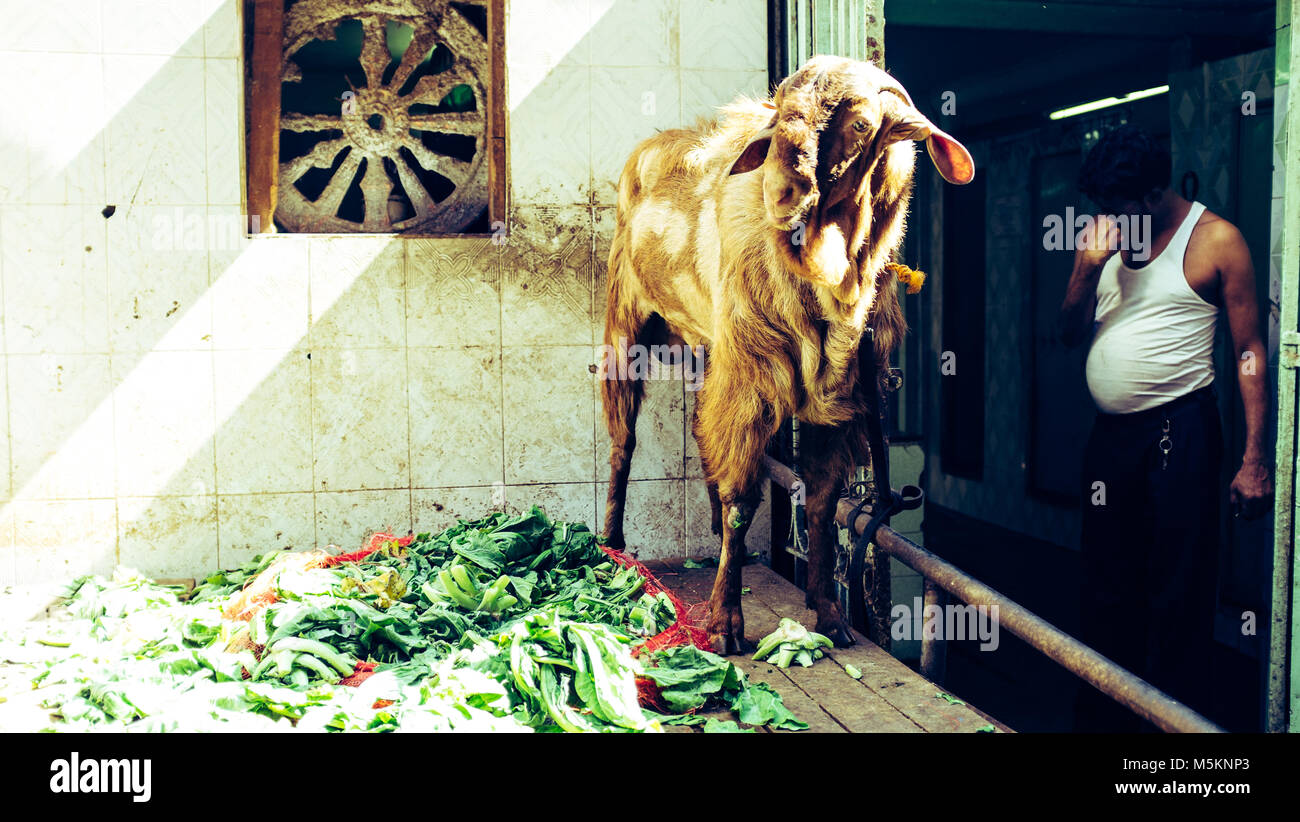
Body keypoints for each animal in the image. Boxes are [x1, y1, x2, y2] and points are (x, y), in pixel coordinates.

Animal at [595, 54, 967, 652]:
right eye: (778, 120)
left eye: (861, 124)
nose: (780, 191)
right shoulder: (751, 378)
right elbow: (744, 499)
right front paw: (725, 624)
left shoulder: (840, 400)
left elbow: (821, 505)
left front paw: (829, 615)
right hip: (624, 324)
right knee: (623, 442)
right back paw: (612, 544)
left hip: (708, 347)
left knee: (702, 439)